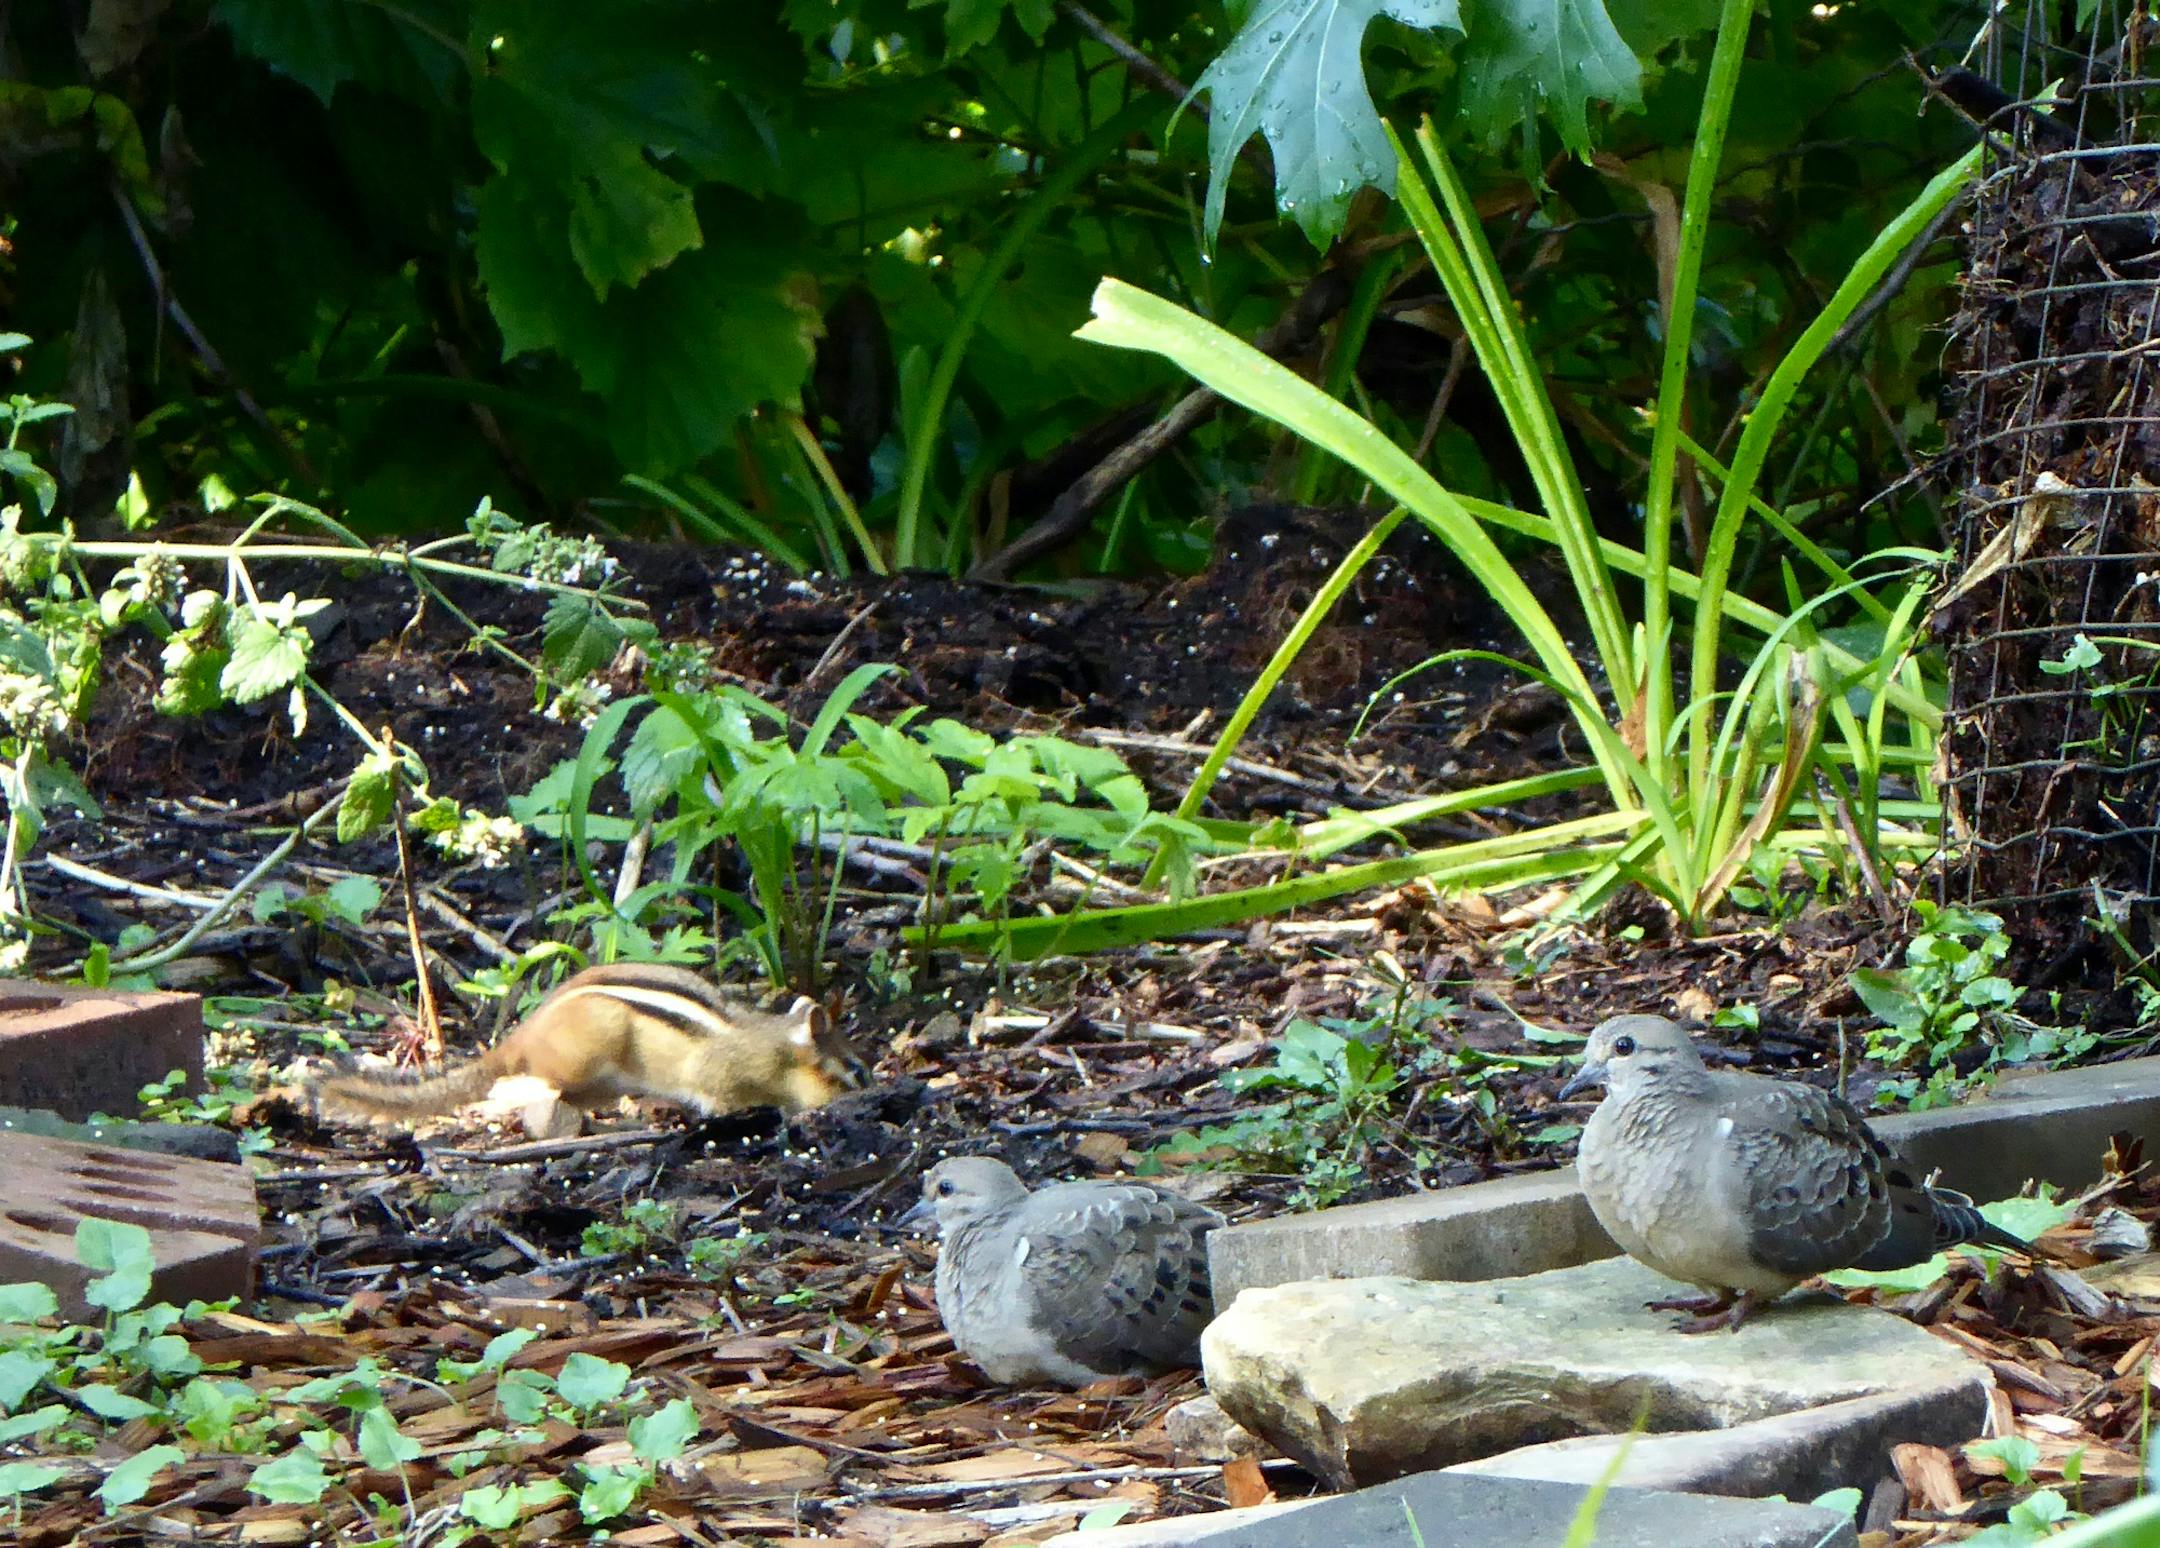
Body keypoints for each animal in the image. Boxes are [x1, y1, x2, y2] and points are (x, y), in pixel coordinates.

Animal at [310, 963, 857, 1129]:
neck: (775, 1049)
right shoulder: (721, 1076)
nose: (859, 1098)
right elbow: (718, 1099)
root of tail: (524, 1032)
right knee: (533, 1083)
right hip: (584, 1054)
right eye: (849, 1071)